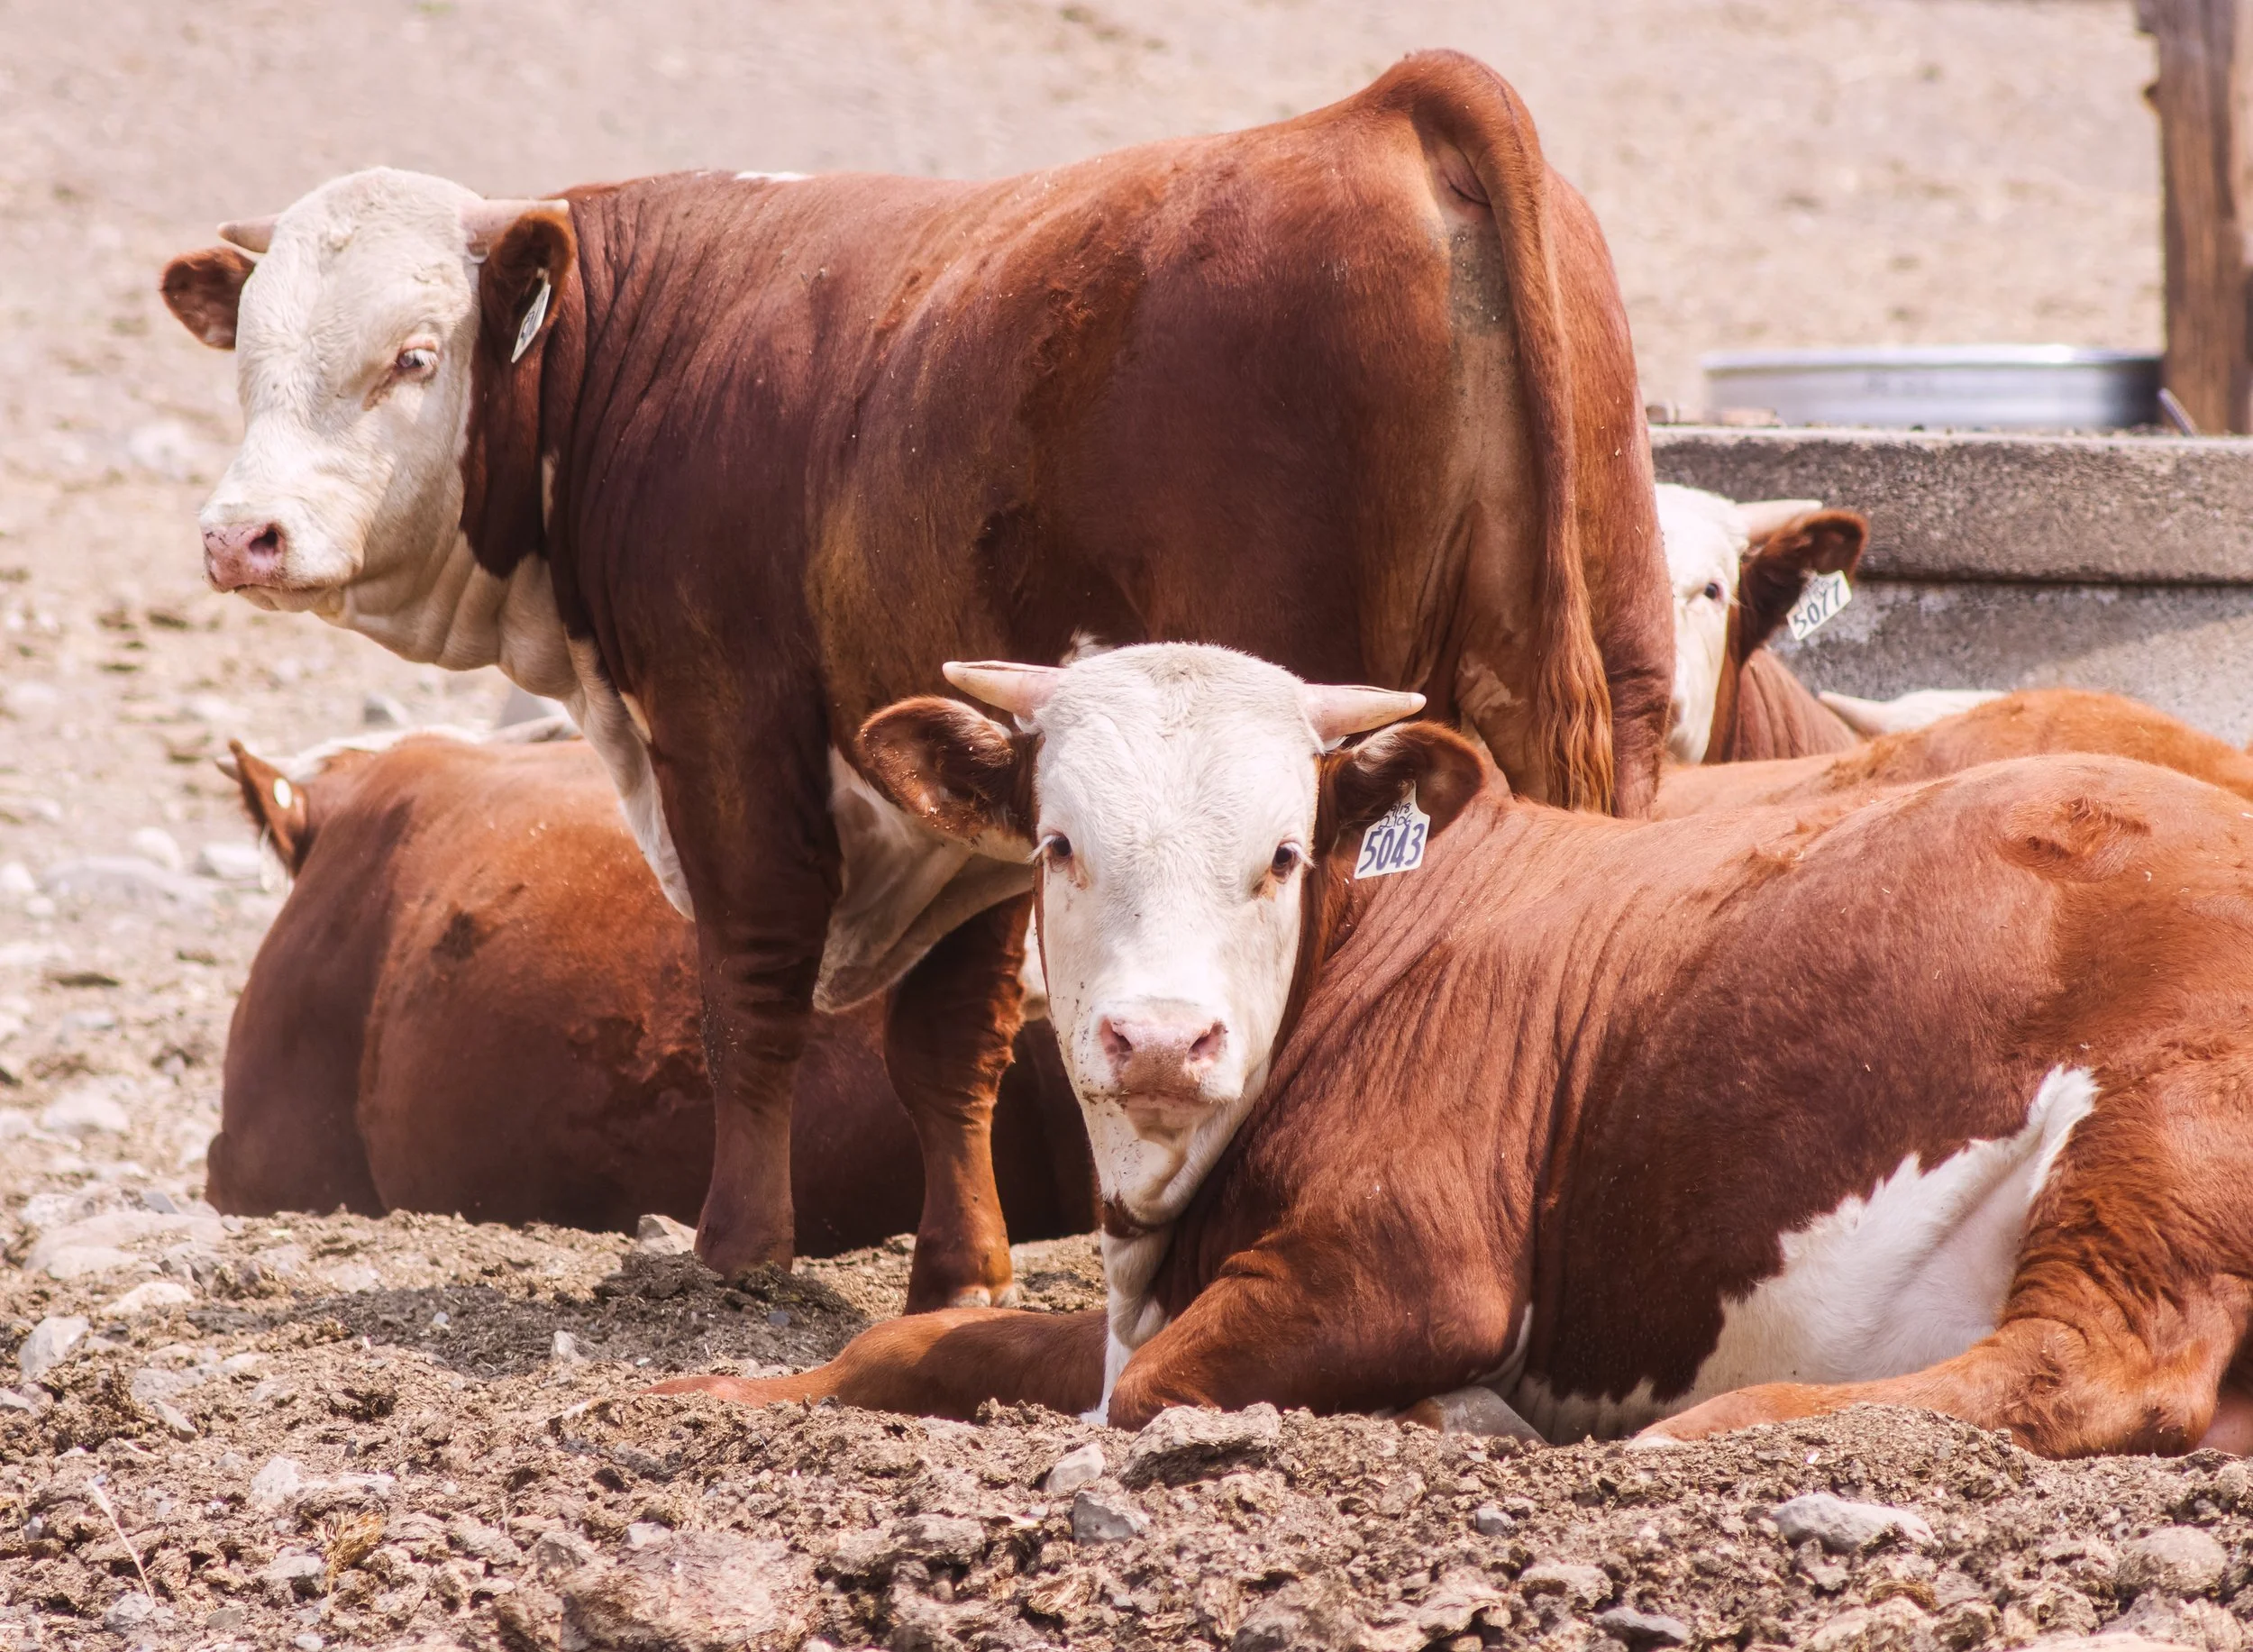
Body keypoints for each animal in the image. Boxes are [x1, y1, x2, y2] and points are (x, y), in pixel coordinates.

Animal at [657, 643, 2253, 1460]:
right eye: (1058, 843)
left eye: (1283, 852)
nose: (1162, 1036)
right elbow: (933, 1340)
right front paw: (713, 1395)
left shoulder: (1409, 1259)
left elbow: (1163, 1387)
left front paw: (1455, 1410)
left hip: (2155, 1130)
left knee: (2082, 1364)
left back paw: (1726, 1425)